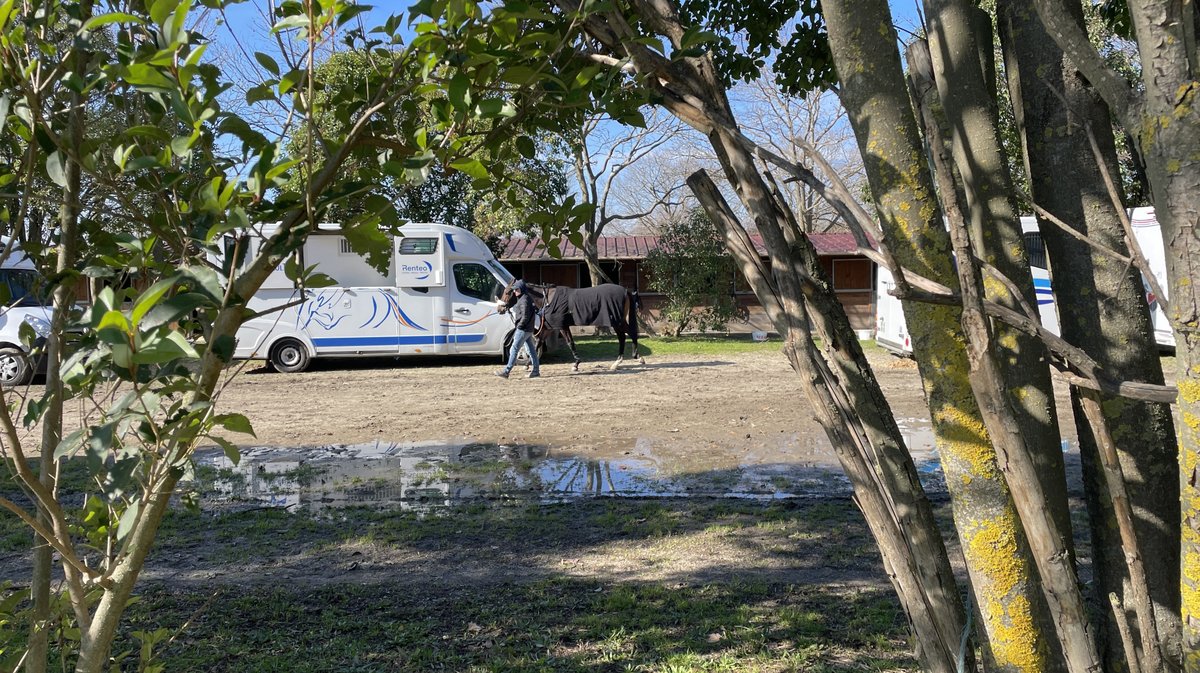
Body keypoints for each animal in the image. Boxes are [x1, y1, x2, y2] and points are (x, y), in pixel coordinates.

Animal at [499, 279, 648, 371]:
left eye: (507, 292)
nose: (500, 309)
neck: (548, 300)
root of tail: (625, 291)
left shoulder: (562, 326)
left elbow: (570, 342)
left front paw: (576, 364)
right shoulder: (548, 327)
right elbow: (538, 343)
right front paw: (528, 364)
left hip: (617, 320)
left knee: (629, 334)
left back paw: (636, 358)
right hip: (617, 321)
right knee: (623, 337)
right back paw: (618, 362)